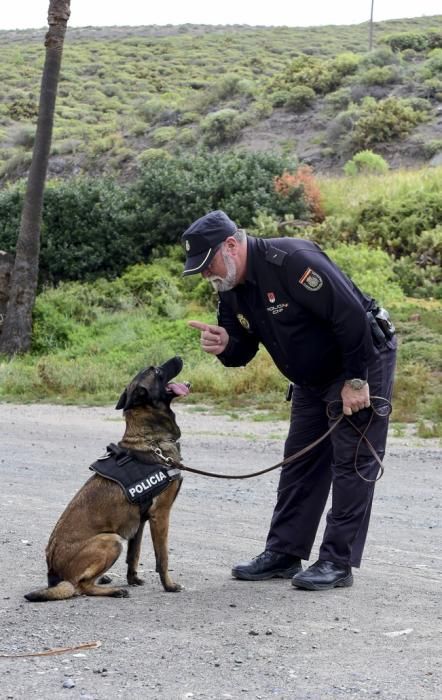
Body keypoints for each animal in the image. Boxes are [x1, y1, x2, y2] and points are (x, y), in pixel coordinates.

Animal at [24, 356, 189, 600]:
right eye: (157, 371)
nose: (179, 357)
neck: (151, 440)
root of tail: (53, 572)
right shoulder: (160, 516)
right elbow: (162, 558)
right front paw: (169, 585)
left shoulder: (140, 522)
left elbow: (134, 555)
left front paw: (133, 579)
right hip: (111, 540)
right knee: (81, 586)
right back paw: (114, 590)